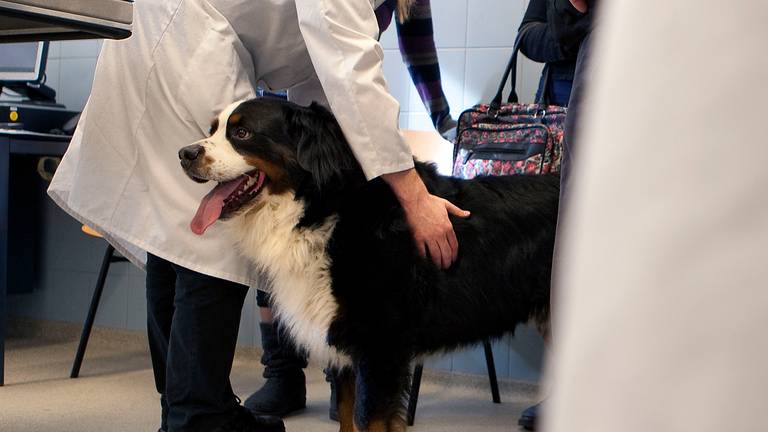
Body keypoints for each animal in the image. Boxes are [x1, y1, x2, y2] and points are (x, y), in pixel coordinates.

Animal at [178, 98, 560, 432]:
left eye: (242, 133)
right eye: (213, 129)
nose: (184, 154)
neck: (324, 212)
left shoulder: (379, 346)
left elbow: (368, 419)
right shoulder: (345, 344)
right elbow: (348, 415)